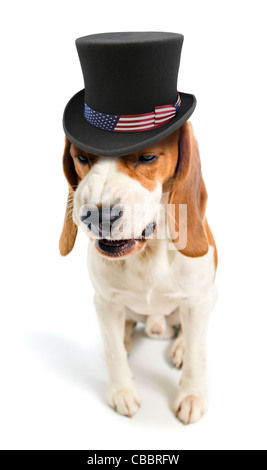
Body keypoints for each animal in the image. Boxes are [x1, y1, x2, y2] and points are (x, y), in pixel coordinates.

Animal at [59, 119, 218, 424]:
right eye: (82, 158)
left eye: (147, 157)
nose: (98, 215)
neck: (148, 254)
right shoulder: (105, 302)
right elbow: (113, 352)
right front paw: (121, 390)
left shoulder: (198, 302)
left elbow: (197, 354)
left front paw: (191, 394)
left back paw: (179, 346)